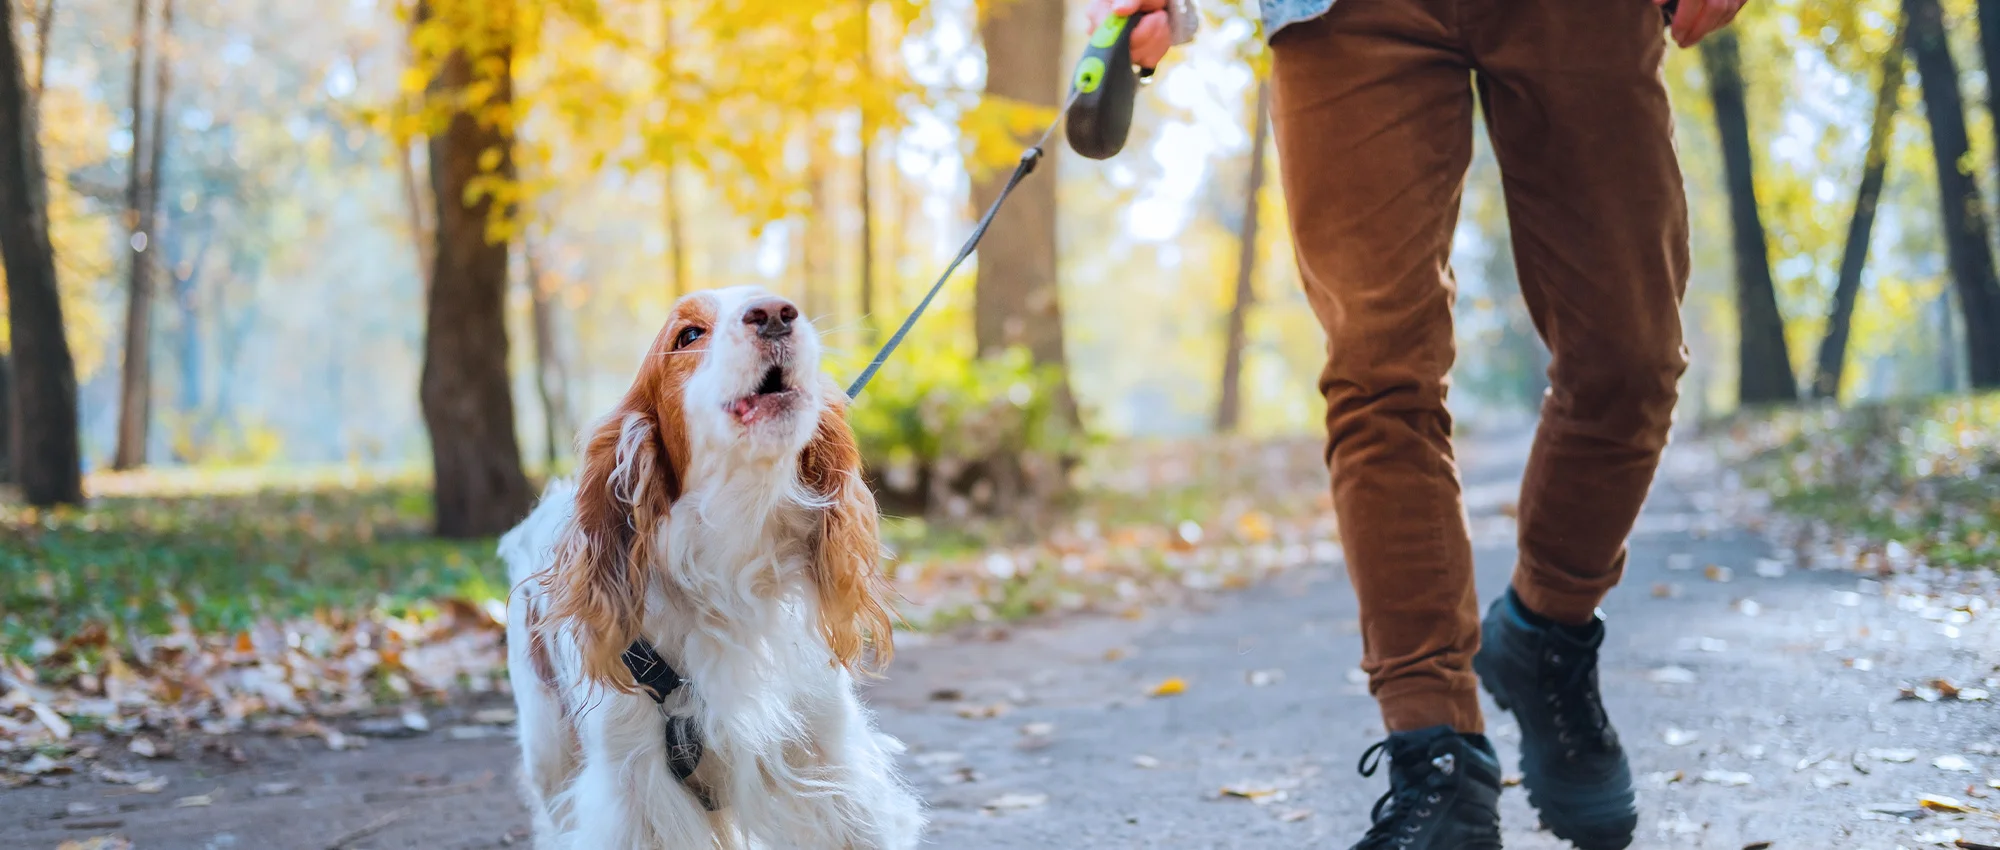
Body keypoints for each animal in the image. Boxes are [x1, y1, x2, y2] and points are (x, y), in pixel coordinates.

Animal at [508, 286, 928, 848]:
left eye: (779, 300)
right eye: (688, 335)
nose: (775, 314)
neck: (730, 563)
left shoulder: (827, 760)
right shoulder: (636, 793)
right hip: (548, 750)